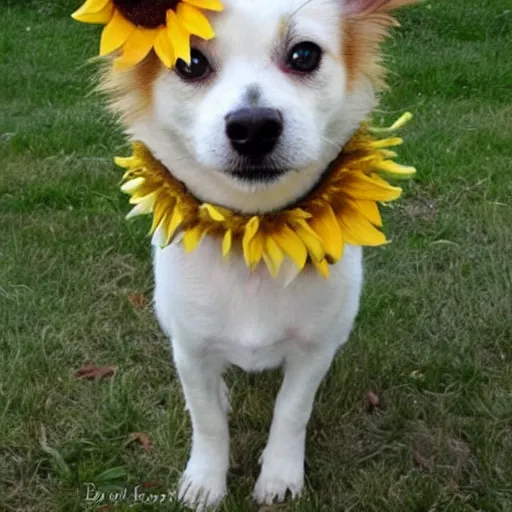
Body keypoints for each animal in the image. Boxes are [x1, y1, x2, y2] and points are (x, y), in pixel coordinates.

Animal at [97, 0, 416, 508]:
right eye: (189, 62)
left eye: (304, 55)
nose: (253, 126)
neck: (252, 237)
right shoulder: (191, 348)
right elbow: (207, 420)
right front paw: (205, 480)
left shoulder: (314, 349)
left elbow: (292, 410)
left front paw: (279, 475)